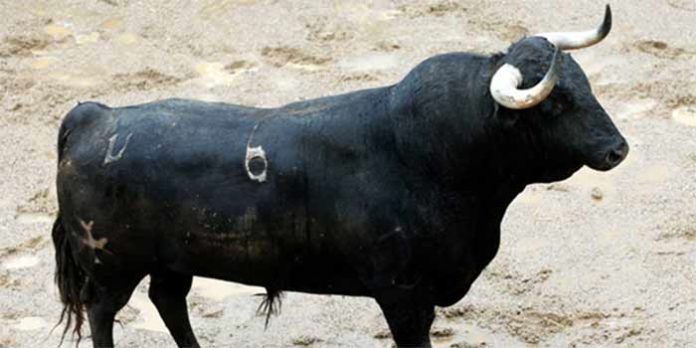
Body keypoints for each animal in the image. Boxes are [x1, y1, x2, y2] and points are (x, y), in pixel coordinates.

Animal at [51, 37, 628, 346]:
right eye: (555, 105)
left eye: (588, 86)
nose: (617, 149)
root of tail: (94, 118)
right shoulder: (403, 293)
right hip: (112, 264)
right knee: (103, 313)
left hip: (172, 260)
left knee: (168, 301)